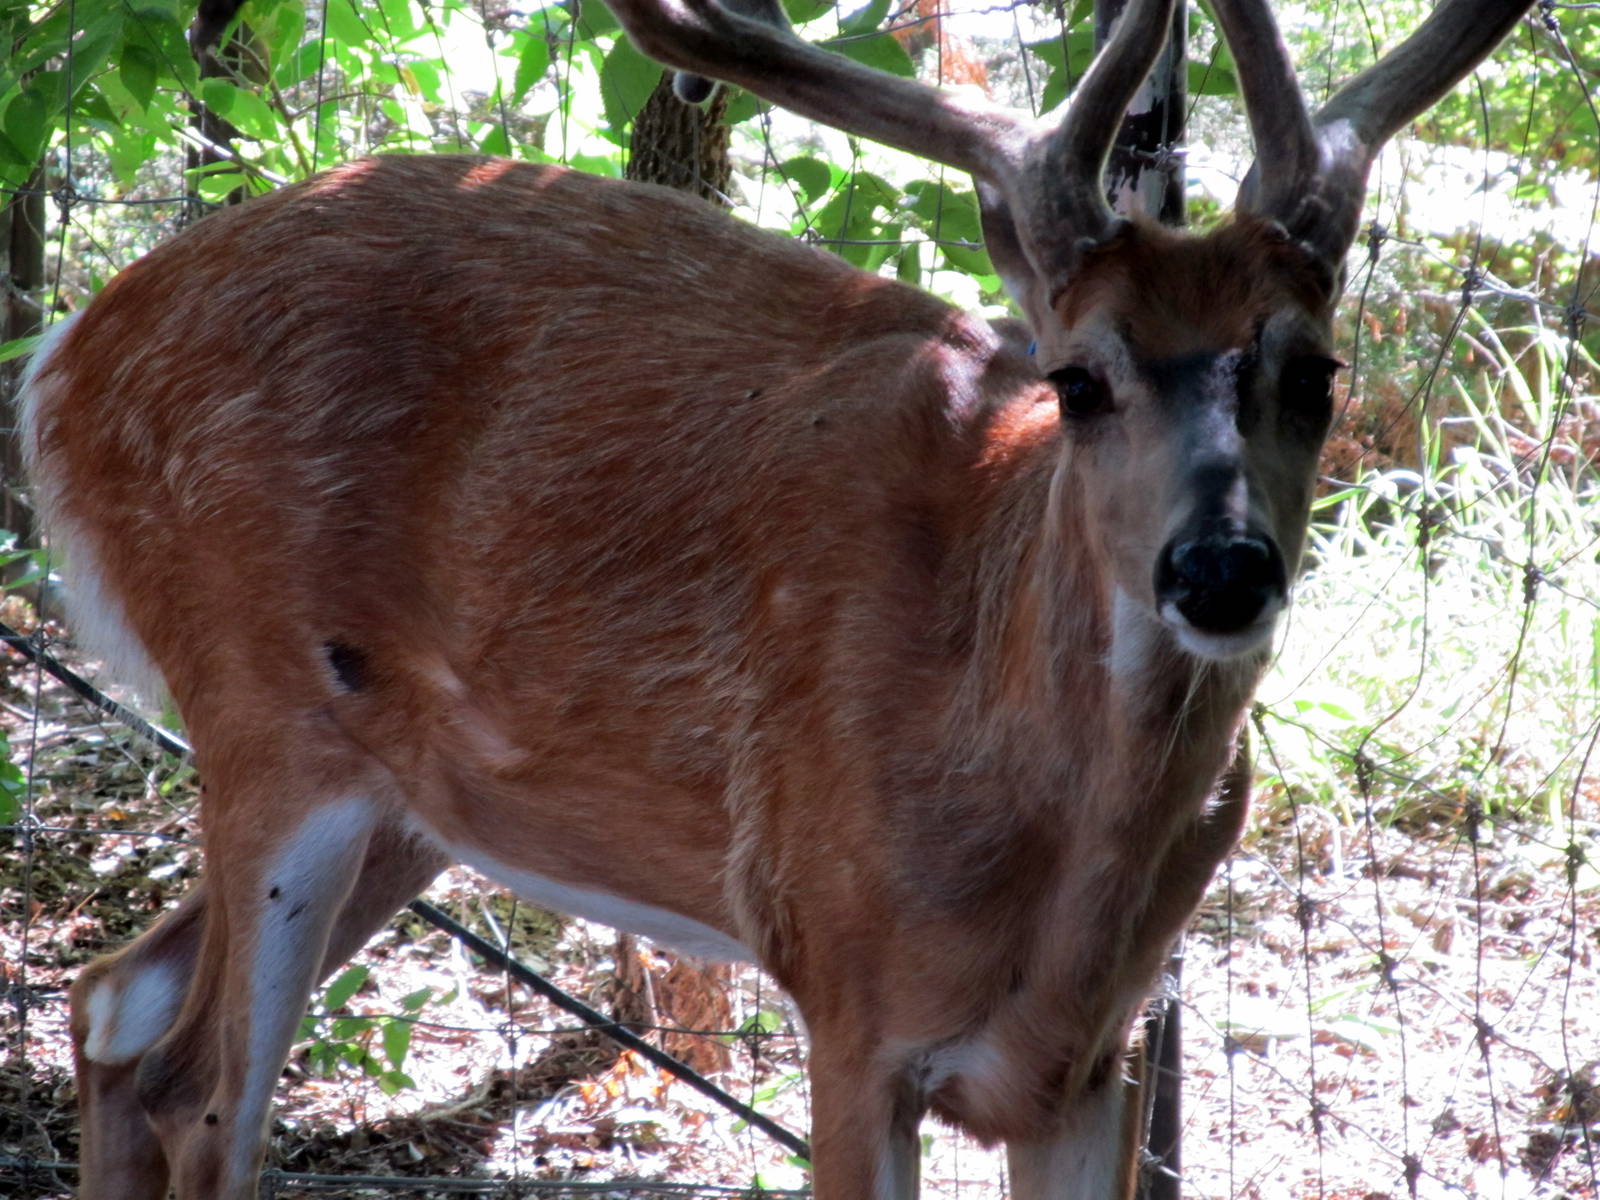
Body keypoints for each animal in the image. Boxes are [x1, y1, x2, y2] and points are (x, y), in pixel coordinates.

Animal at [20, 0, 1531, 1195]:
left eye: (1316, 371)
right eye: (1079, 378)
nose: (1218, 568)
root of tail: (60, 361)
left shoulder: (1090, 1060)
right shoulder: (848, 989)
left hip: (408, 796)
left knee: (115, 1004)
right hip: (261, 705)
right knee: (205, 1097)